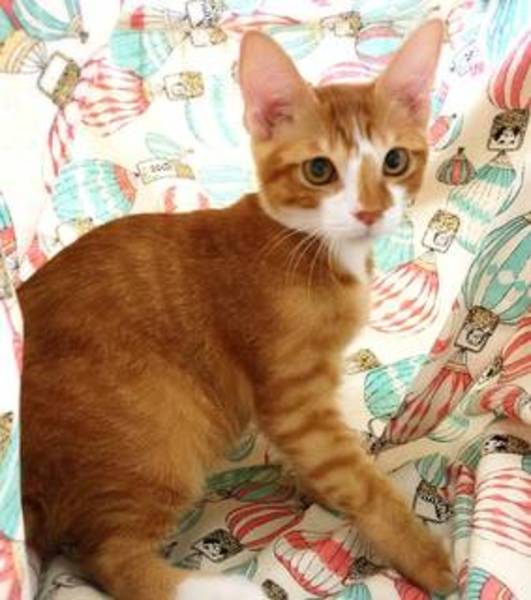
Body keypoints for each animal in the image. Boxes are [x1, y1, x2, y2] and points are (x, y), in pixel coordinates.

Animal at [20, 20, 453, 600]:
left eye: (395, 161)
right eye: (320, 170)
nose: (369, 211)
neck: (310, 246)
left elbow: (324, 466)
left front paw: (314, 490)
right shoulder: (292, 397)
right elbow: (357, 479)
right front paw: (426, 558)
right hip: (162, 432)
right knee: (108, 557)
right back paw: (219, 587)